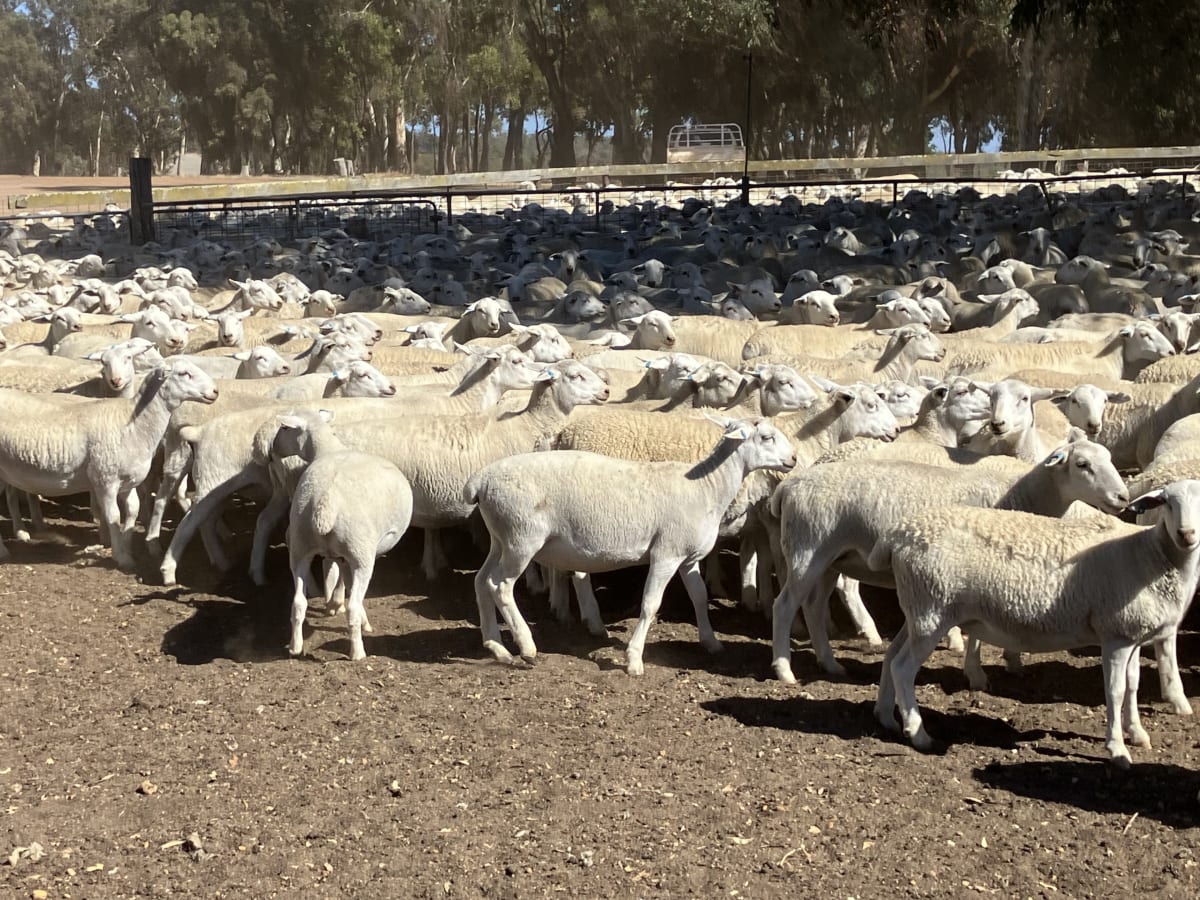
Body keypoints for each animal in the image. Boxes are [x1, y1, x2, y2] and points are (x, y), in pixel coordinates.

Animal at [0, 359, 219, 568]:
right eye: (184, 373)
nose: (215, 391)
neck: (134, 424)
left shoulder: (128, 482)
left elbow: (133, 510)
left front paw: (127, 548)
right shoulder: (106, 480)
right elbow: (113, 516)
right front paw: (121, 557)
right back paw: (6, 550)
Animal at [269, 411, 414, 661]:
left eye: (284, 428)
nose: (272, 448)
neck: (329, 449)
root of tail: (326, 503)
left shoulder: (341, 556)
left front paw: (336, 606)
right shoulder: (356, 555)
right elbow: (350, 591)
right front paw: (360, 621)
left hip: (300, 547)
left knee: (298, 603)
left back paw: (295, 647)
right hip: (361, 552)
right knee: (353, 606)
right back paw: (357, 652)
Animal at [467, 417, 798, 674]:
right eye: (766, 437)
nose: (793, 459)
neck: (706, 488)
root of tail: (480, 481)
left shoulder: (688, 558)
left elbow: (700, 597)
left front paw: (711, 642)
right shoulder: (666, 554)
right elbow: (651, 604)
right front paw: (634, 660)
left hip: (501, 538)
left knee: (481, 581)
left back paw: (496, 646)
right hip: (522, 538)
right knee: (500, 586)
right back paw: (526, 646)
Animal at [769, 431, 1129, 683]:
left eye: (1110, 459)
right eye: (1082, 465)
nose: (1123, 497)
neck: (1022, 495)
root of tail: (790, 485)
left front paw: (1010, 661)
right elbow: (977, 633)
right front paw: (976, 674)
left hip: (830, 558)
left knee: (814, 606)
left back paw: (830, 663)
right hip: (806, 552)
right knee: (784, 606)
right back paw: (785, 671)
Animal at [870, 480, 1200, 768]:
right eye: (1168, 503)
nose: (1186, 534)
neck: (1149, 555)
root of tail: (899, 534)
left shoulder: (1132, 634)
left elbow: (1133, 686)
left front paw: (1137, 734)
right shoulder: (1115, 635)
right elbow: (1115, 691)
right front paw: (1117, 749)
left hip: (920, 609)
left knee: (891, 656)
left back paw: (886, 717)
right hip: (932, 609)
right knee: (903, 668)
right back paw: (918, 734)